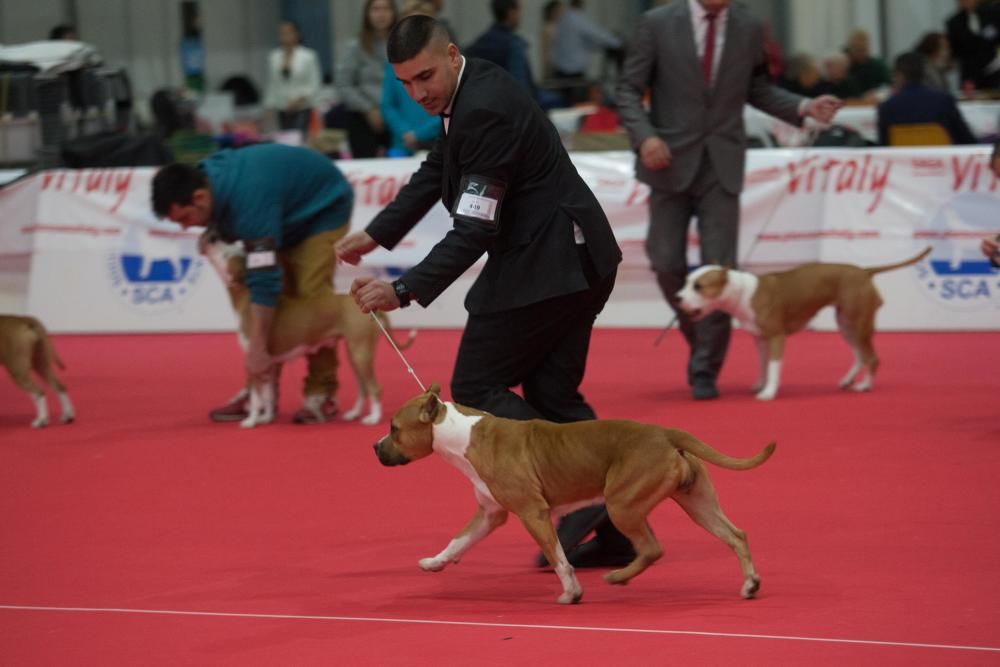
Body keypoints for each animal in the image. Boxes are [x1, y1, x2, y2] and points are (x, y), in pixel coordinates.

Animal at [199, 232, 414, 428]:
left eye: (228, 254)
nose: (211, 235)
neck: (247, 295)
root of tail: (371, 307)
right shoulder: (267, 363)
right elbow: (268, 395)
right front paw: (265, 418)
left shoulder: (254, 360)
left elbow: (255, 397)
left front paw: (251, 421)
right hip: (355, 352)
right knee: (363, 386)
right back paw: (354, 413)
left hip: (360, 352)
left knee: (375, 387)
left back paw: (373, 418)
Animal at [376, 380, 772, 604]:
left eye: (394, 429)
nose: (375, 447)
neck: (460, 433)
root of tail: (665, 433)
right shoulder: (490, 514)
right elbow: (458, 541)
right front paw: (435, 562)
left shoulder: (533, 513)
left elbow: (559, 558)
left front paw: (571, 592)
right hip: (698, 503)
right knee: (735, 535)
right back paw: (750, 584)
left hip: (623, 505)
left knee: (652, 549)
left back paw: (617, 576)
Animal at [672, 247, 928, 400]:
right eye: (686, 282)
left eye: (699, 286)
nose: (677, 298)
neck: (741, 292)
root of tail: (864, 272)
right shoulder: (760, 339)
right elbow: (763, 364)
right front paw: (761, 384)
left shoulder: (776, 337)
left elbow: (774, 365)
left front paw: (769, 392)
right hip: (846, 324)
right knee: (859, 354)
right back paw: (848, 380)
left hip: (859, 323)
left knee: (871, 357)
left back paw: (864, 386)